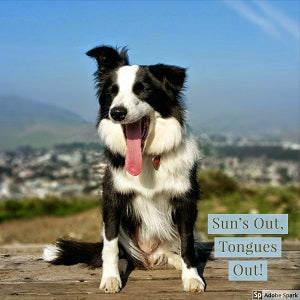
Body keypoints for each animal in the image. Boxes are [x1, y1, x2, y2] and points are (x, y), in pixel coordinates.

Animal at [43, 45, 205, 294]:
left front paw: (192, 277)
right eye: (113, 92)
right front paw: (110, 278)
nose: (116, 112)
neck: (147, 159)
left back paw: (175, 260)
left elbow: (187, 242)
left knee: (172, 250)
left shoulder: (185, 201)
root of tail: (148, 257)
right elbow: (110, 246)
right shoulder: (112, 198)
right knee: (121, 255)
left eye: (143, 90)